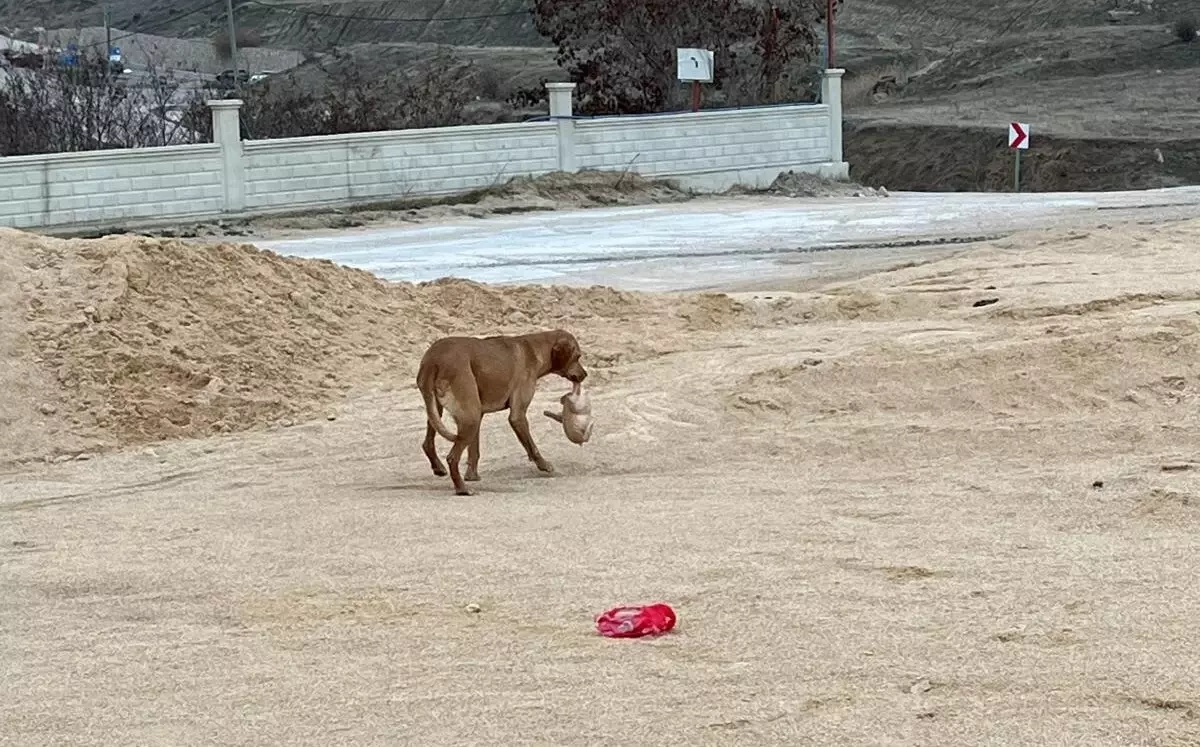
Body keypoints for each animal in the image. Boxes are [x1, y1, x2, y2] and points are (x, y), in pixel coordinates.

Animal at [415, 331, 588, 497]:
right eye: (577, 356)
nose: (585, 374)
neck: (534, 349)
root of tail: (433, 361)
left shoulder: (480, 414)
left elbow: (474, 451)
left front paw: (472, 476)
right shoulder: (517, 415)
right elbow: (532, 446)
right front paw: (544, 465)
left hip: (444, 411)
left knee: (428, 443)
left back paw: (439, 468)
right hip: (469, 418)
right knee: (452, 458)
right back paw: (462, 489)